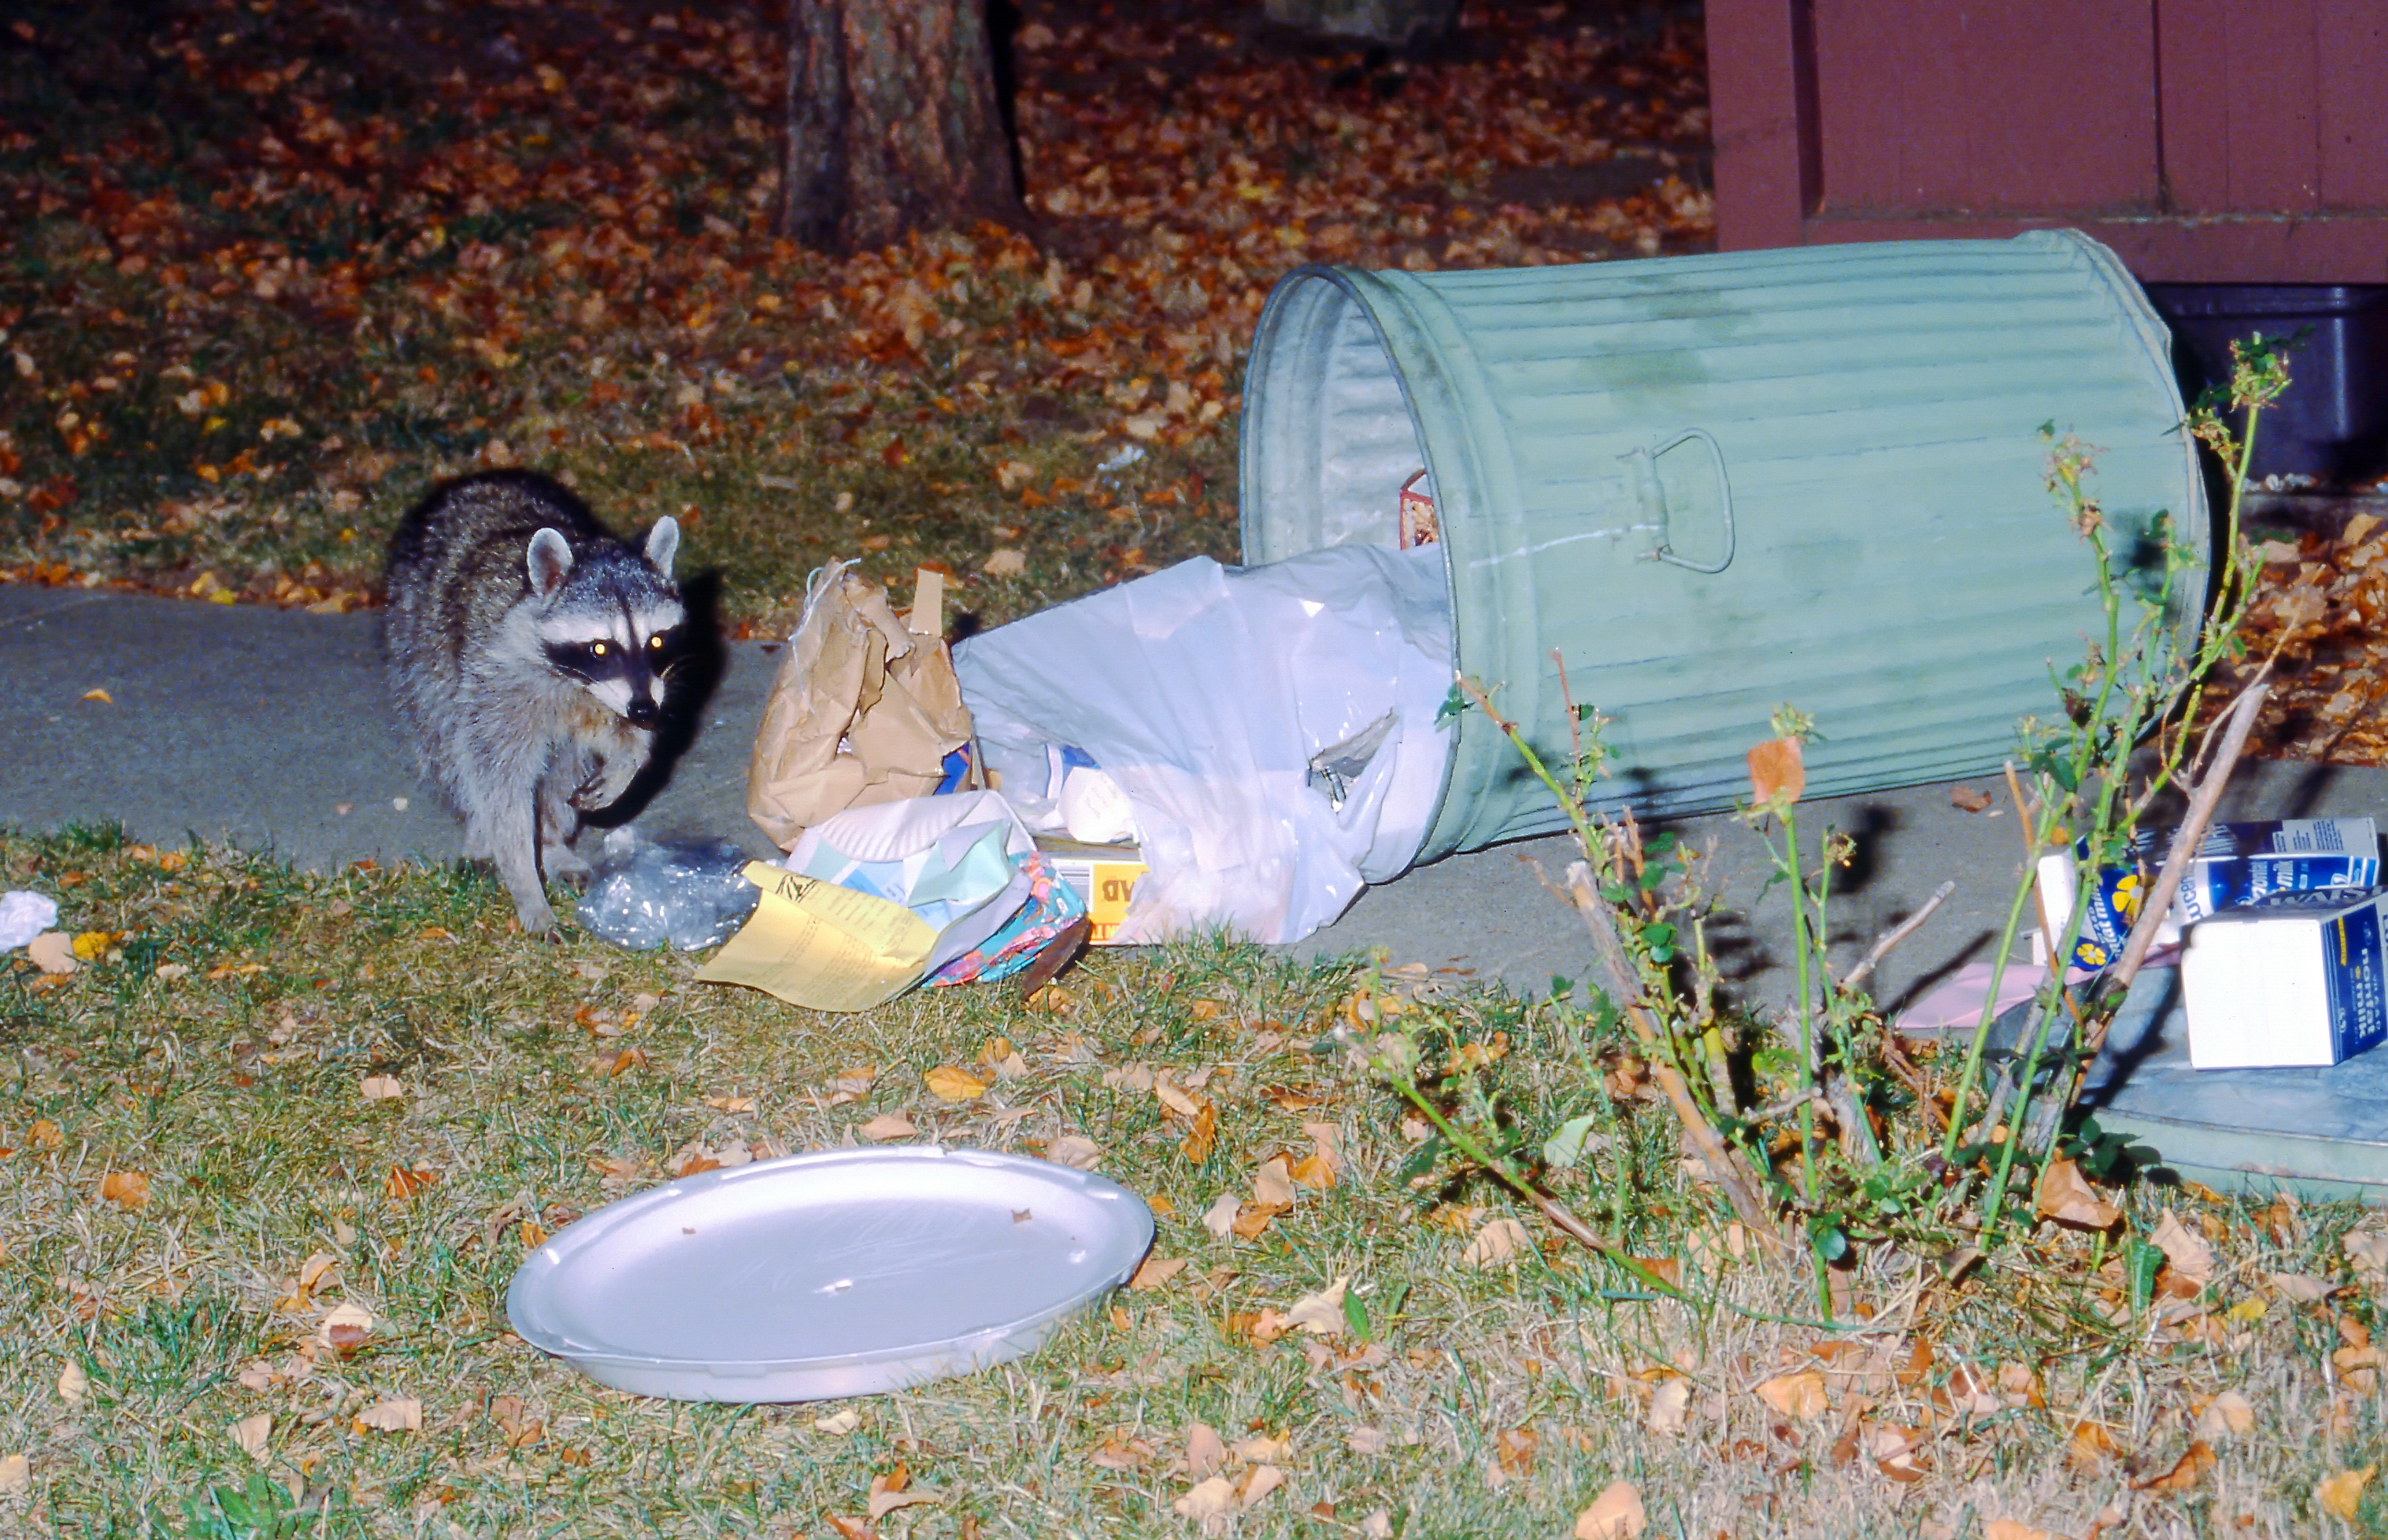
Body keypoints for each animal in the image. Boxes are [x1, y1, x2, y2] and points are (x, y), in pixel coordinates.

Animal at [377, 468, 687, 931]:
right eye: (600, 648)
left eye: (655, 641)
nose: (646, 713)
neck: (576, 682)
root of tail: (478, 479)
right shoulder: (494, 682)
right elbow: (499, 785)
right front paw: (524, 879)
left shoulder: (621, 693)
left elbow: (617, 733)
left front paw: (630, 760)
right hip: (418, 650)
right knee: (448, 749)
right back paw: (483, 833)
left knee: (563, 769)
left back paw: (553, 841)